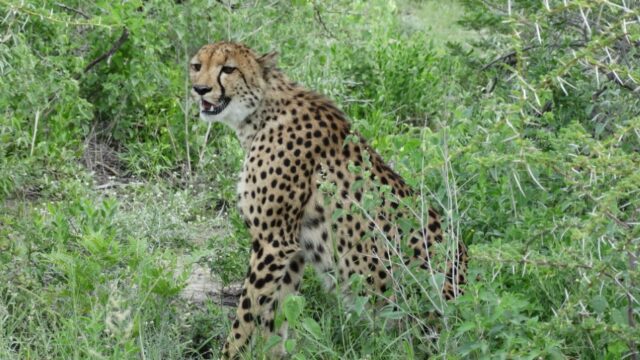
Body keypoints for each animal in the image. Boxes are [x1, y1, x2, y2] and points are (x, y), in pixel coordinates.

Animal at [188, 41, 468, 358]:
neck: (260, 112)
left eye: (228, 69)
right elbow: (275, 318)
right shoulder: (292, 249)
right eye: (197, 66)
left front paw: (229, 353)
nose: (200, 89)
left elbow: (246, 316)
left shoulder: (273, 242)